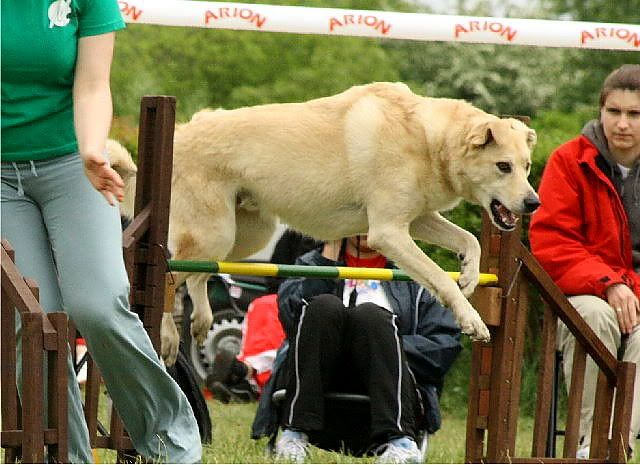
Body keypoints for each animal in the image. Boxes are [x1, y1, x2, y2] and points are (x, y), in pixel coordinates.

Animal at [154, 82, 539, 366]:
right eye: (503, 166)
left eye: (527, 166)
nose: (533, 203)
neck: (429, 140)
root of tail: (181, 130)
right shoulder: (388, 232)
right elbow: (441, 278)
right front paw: (471, 319)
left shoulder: (416, 220)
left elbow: (469, 241)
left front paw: (471, 275)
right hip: (215, 233)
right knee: (171, 274)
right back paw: (168, 338)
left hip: (244, 236)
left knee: (198, 276)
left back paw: (201, 322)